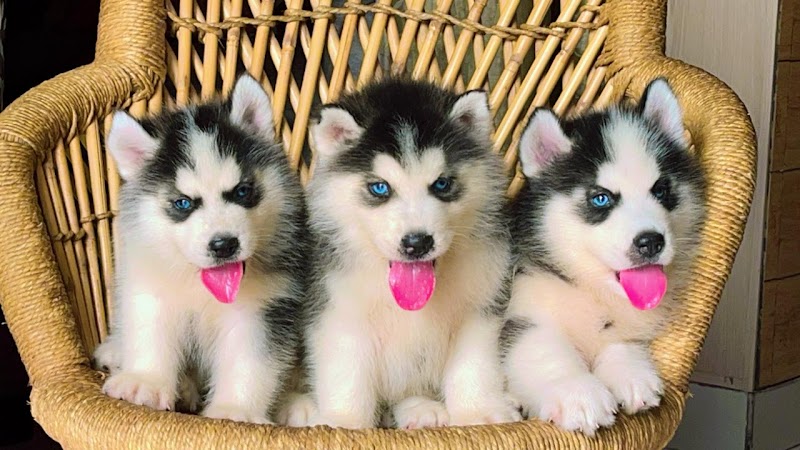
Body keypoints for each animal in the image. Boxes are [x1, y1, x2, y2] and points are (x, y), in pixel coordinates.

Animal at [94, 74, 307, 424]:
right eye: (183, 203)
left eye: (242, 191)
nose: (224, 245)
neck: (199, 287)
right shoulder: (152, 288)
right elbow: (150, 332)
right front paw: (145, 382)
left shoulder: (263, 309)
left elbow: (249, 361)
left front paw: (236, 410)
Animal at [281, 78, 520, 429]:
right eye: (380, 187)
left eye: (442, 184)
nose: (417, 242)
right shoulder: (336, 310)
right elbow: (346, 375)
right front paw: (343, 422)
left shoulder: (479, 306)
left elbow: (473, 366)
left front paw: (478, 413)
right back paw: (299, 407)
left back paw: (420, 409)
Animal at [502, 78, 706, 435]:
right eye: (601, 198)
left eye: (661, 190)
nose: (650, 242)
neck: (591, 290)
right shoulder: (521, 310)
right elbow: (542, 347)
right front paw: (578, 392)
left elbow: (618, 340)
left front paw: (631, 372)